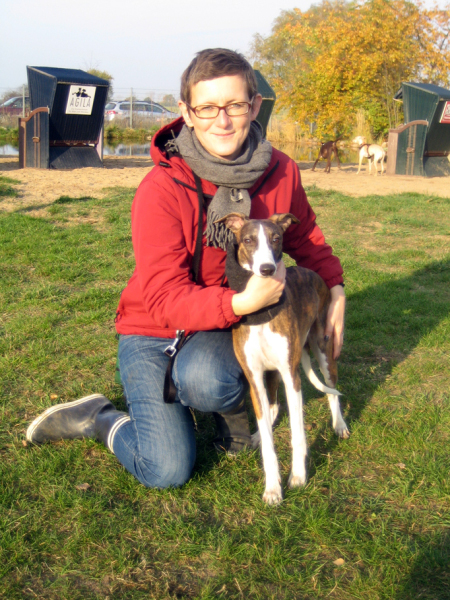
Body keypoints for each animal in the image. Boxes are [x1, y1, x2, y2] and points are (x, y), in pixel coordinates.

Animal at [216, 213, 350, 504]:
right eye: (248, 240)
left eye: (276, 238)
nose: (267, 269)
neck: (262, 312)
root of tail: (313, 273)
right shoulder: (255, 379)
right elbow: (269, 441)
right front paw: (272, 488)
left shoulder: (292, 377)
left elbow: (298, 433)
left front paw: (298, 476)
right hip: (272, 373)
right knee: (273, 406)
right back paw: (257, 434)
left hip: (323, 349)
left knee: (332, 391)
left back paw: (339, 424)